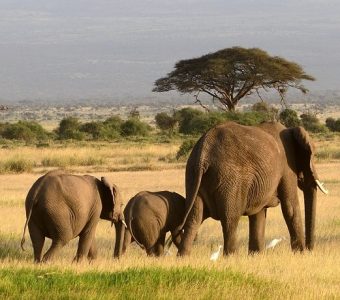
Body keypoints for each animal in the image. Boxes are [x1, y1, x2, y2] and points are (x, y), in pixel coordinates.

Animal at [177, 120, 326, 256]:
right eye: (310, 157)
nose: (310, 249)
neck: (291, 129)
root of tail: (203, 153)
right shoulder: (287, 167)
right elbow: (290, 207)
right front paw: (300, 254)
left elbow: (258, 213)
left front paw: (256, 255)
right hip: (230, 180)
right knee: (230, 219)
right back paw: (231, 257)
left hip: (192, 175)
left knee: (194, 218)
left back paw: (183, 257)